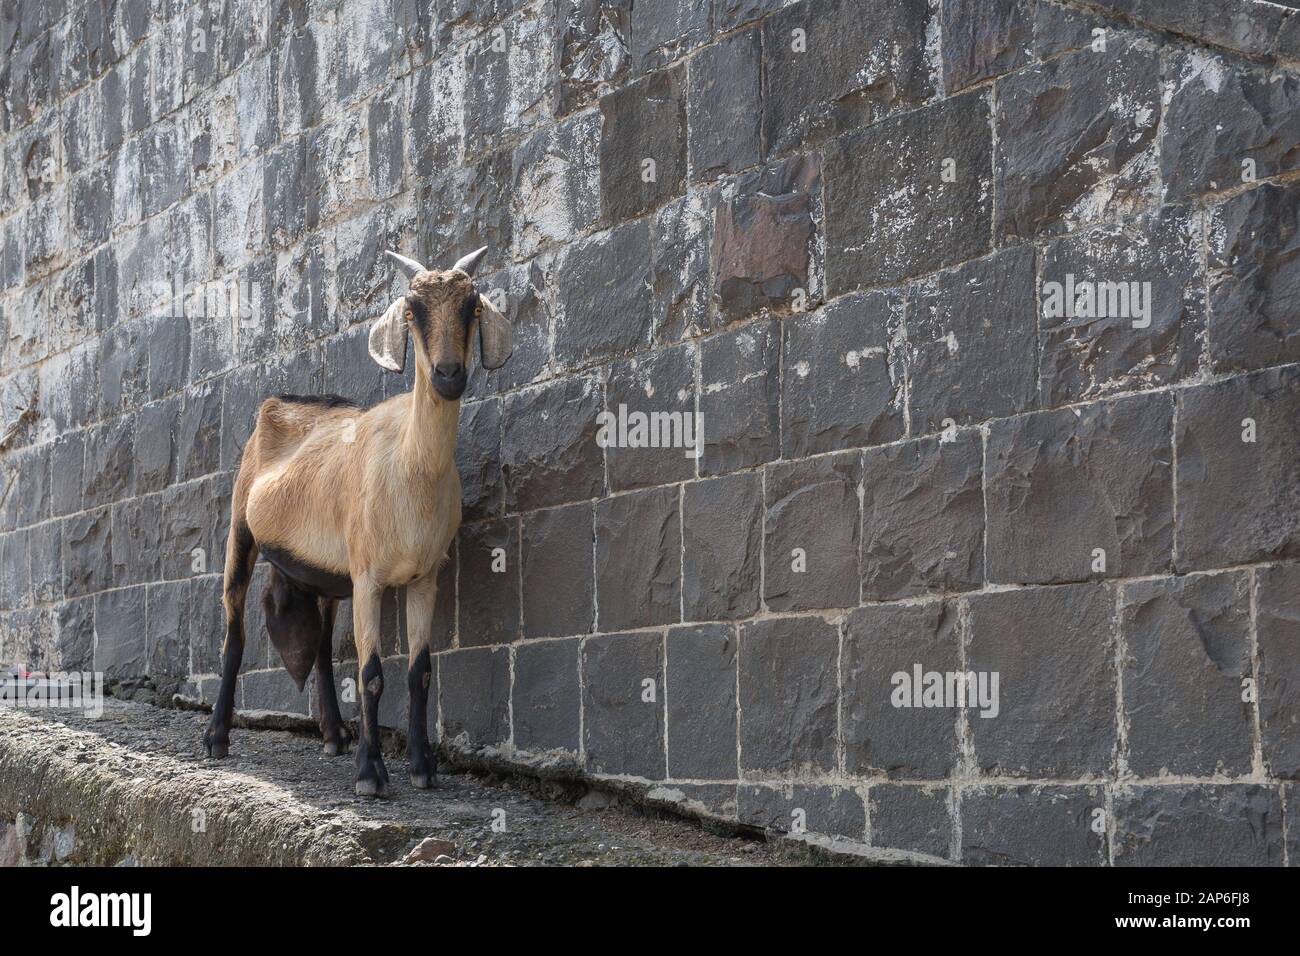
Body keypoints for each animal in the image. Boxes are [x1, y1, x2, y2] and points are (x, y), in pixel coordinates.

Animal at [202, 248, 512, 801]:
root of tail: (279, 402)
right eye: (411, 311)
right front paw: (371, 773)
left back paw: (333, 734)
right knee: (233, 631)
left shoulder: (424, 578)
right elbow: (370, 675)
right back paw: (217, 736)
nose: (449, 374)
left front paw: (423, 767)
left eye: (473, 306)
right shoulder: (368, 578)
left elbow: (419, 673)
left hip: (326, 572)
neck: (412, 467)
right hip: (240, 530)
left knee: (323, 645)